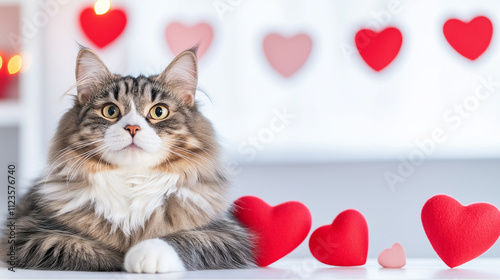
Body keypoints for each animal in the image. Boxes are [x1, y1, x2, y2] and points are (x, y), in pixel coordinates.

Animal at [0, 47, 254, 272]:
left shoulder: (225, 234)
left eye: (159, 112)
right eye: (110, 111)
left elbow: (179, 239)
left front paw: (145, 255)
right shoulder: (30, 233)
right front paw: (122, 258)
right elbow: (85, 248)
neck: (133, 179)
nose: (133, 128)